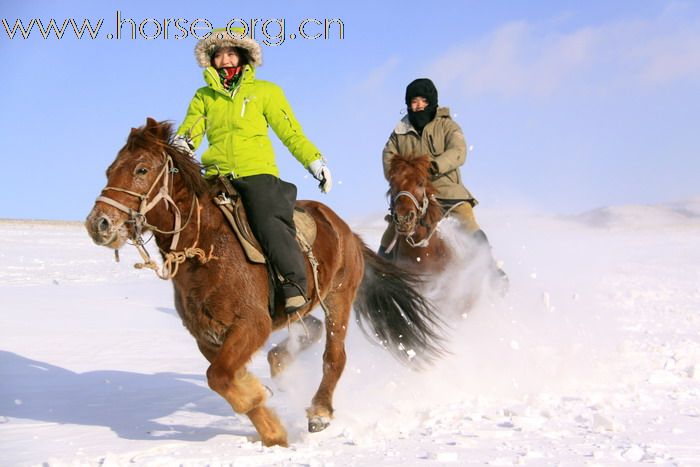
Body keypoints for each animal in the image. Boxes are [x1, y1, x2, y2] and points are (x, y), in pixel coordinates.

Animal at [85, 119, 446, 448]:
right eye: (109, 171)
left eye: (142, 169)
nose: (98, 224)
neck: (206, 247)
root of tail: (346, 232)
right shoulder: (206, 335)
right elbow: (224, 377)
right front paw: (272, 430)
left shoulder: (252, 324)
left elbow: (220, 377)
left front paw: (262, 404)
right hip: (302, 307)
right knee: (305, 334)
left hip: (338, 299)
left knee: (334, 356)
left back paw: (319, 412)